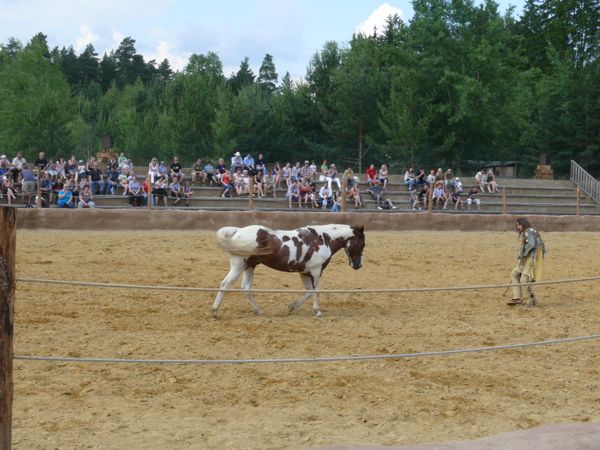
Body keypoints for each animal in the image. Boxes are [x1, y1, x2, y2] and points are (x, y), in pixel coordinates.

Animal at [216, 224, 366, 316]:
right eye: (362, 244)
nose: (358, 265)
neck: (323, 239)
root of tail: (238, 232)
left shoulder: (304, 272)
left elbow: (309, 292)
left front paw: (292, 307)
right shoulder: (316, 271)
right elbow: (316, 291)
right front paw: (317, 312)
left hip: (249, 267)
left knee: (246, 288)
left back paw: (259, 311)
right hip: (238, 267)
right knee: (225, 284)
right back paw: (215, 310)